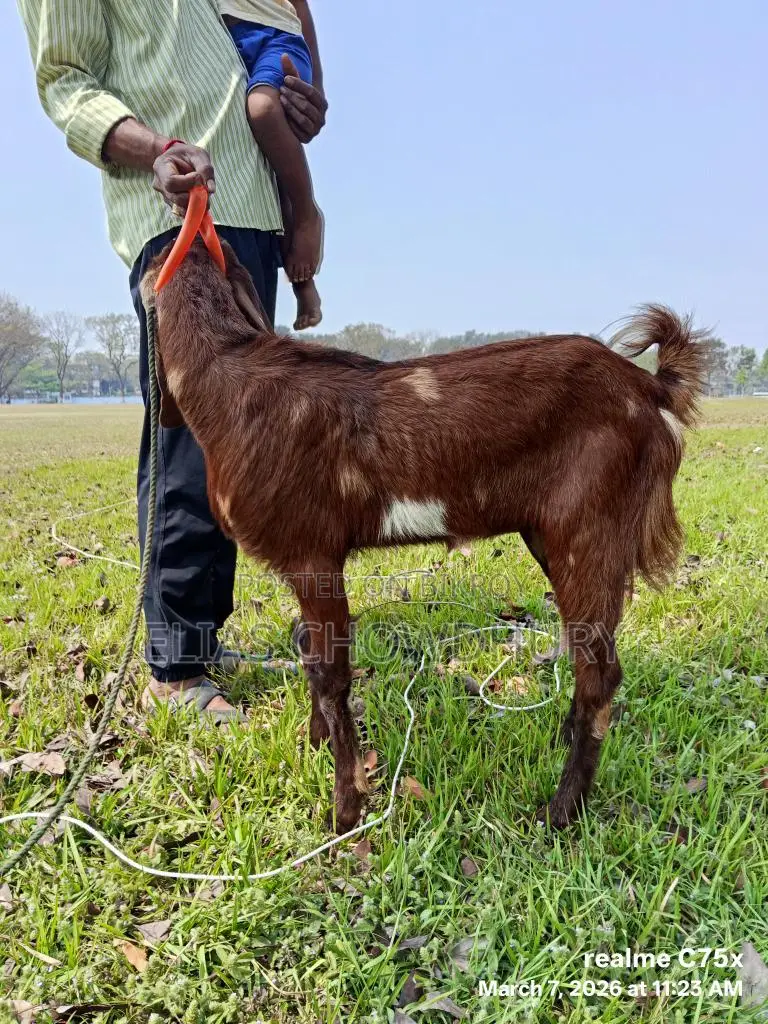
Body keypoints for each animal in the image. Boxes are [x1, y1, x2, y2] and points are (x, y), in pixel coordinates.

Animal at [141, 240, 705, 832]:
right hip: (554, 535)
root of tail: (650, 388)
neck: (229, 376)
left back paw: (560, 812)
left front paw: (345, 811)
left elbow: (331, 673)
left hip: (589, 526)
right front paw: (316, 748)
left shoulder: (313, 553)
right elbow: (309, 654)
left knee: (600, 672)